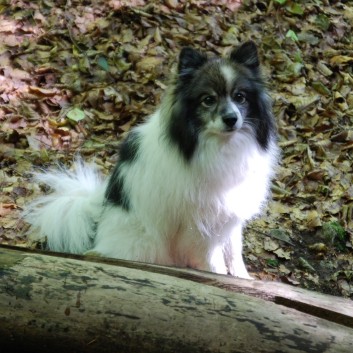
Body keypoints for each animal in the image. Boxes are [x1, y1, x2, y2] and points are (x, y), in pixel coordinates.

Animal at [24, 41, 278, 278]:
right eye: (208, 100)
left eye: (240, 97)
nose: (231, 118)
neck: (219, 146)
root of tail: (98, 215)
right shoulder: (199, 226)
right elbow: (213, 262)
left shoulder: (228, 214)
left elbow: (234, 251)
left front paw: (242, 279)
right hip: (147, 242)